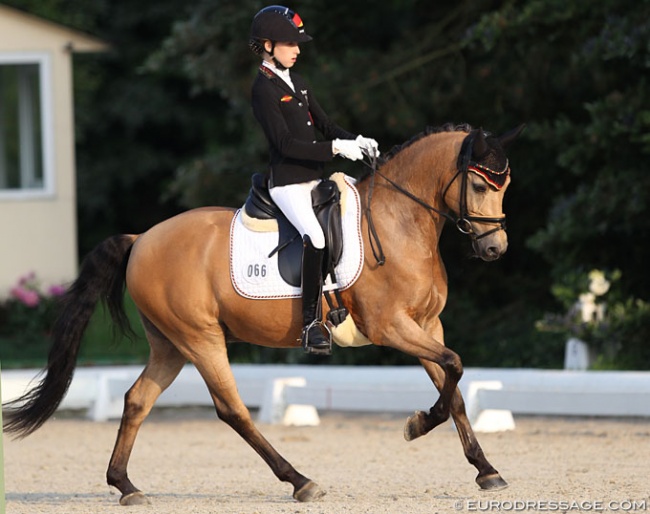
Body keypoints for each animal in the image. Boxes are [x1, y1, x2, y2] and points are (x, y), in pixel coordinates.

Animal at [2, 122, 524, 502]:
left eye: (505, 186)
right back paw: (300, 481)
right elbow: (454, 367)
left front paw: (486, 470)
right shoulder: (391, 327)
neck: (400, 222)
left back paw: (126, 485)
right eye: (480, 185)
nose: (494, 249)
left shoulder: (427, 324)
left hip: (170, 345)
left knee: (137, 400)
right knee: (231, 409)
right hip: (201, 339)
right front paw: (417, 424)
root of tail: (142, 238)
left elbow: (456, 387)